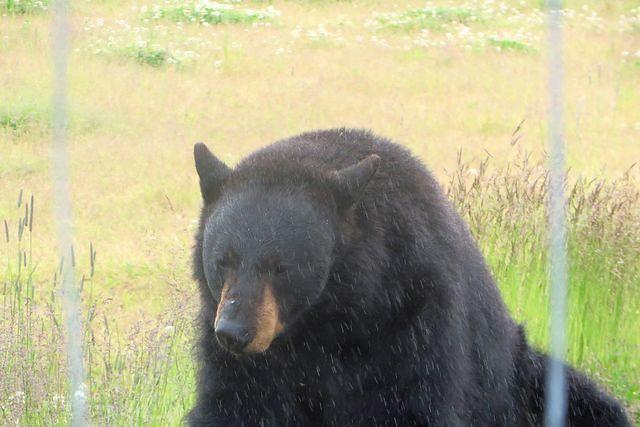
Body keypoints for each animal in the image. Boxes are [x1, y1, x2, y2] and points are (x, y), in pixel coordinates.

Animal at [188, 128, 630, 426]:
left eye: (282, 266)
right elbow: (235, 404)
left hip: (523, 378)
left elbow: (412, 403)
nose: (235, 333)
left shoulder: (412, 318)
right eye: (223, 260)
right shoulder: (245, 356)